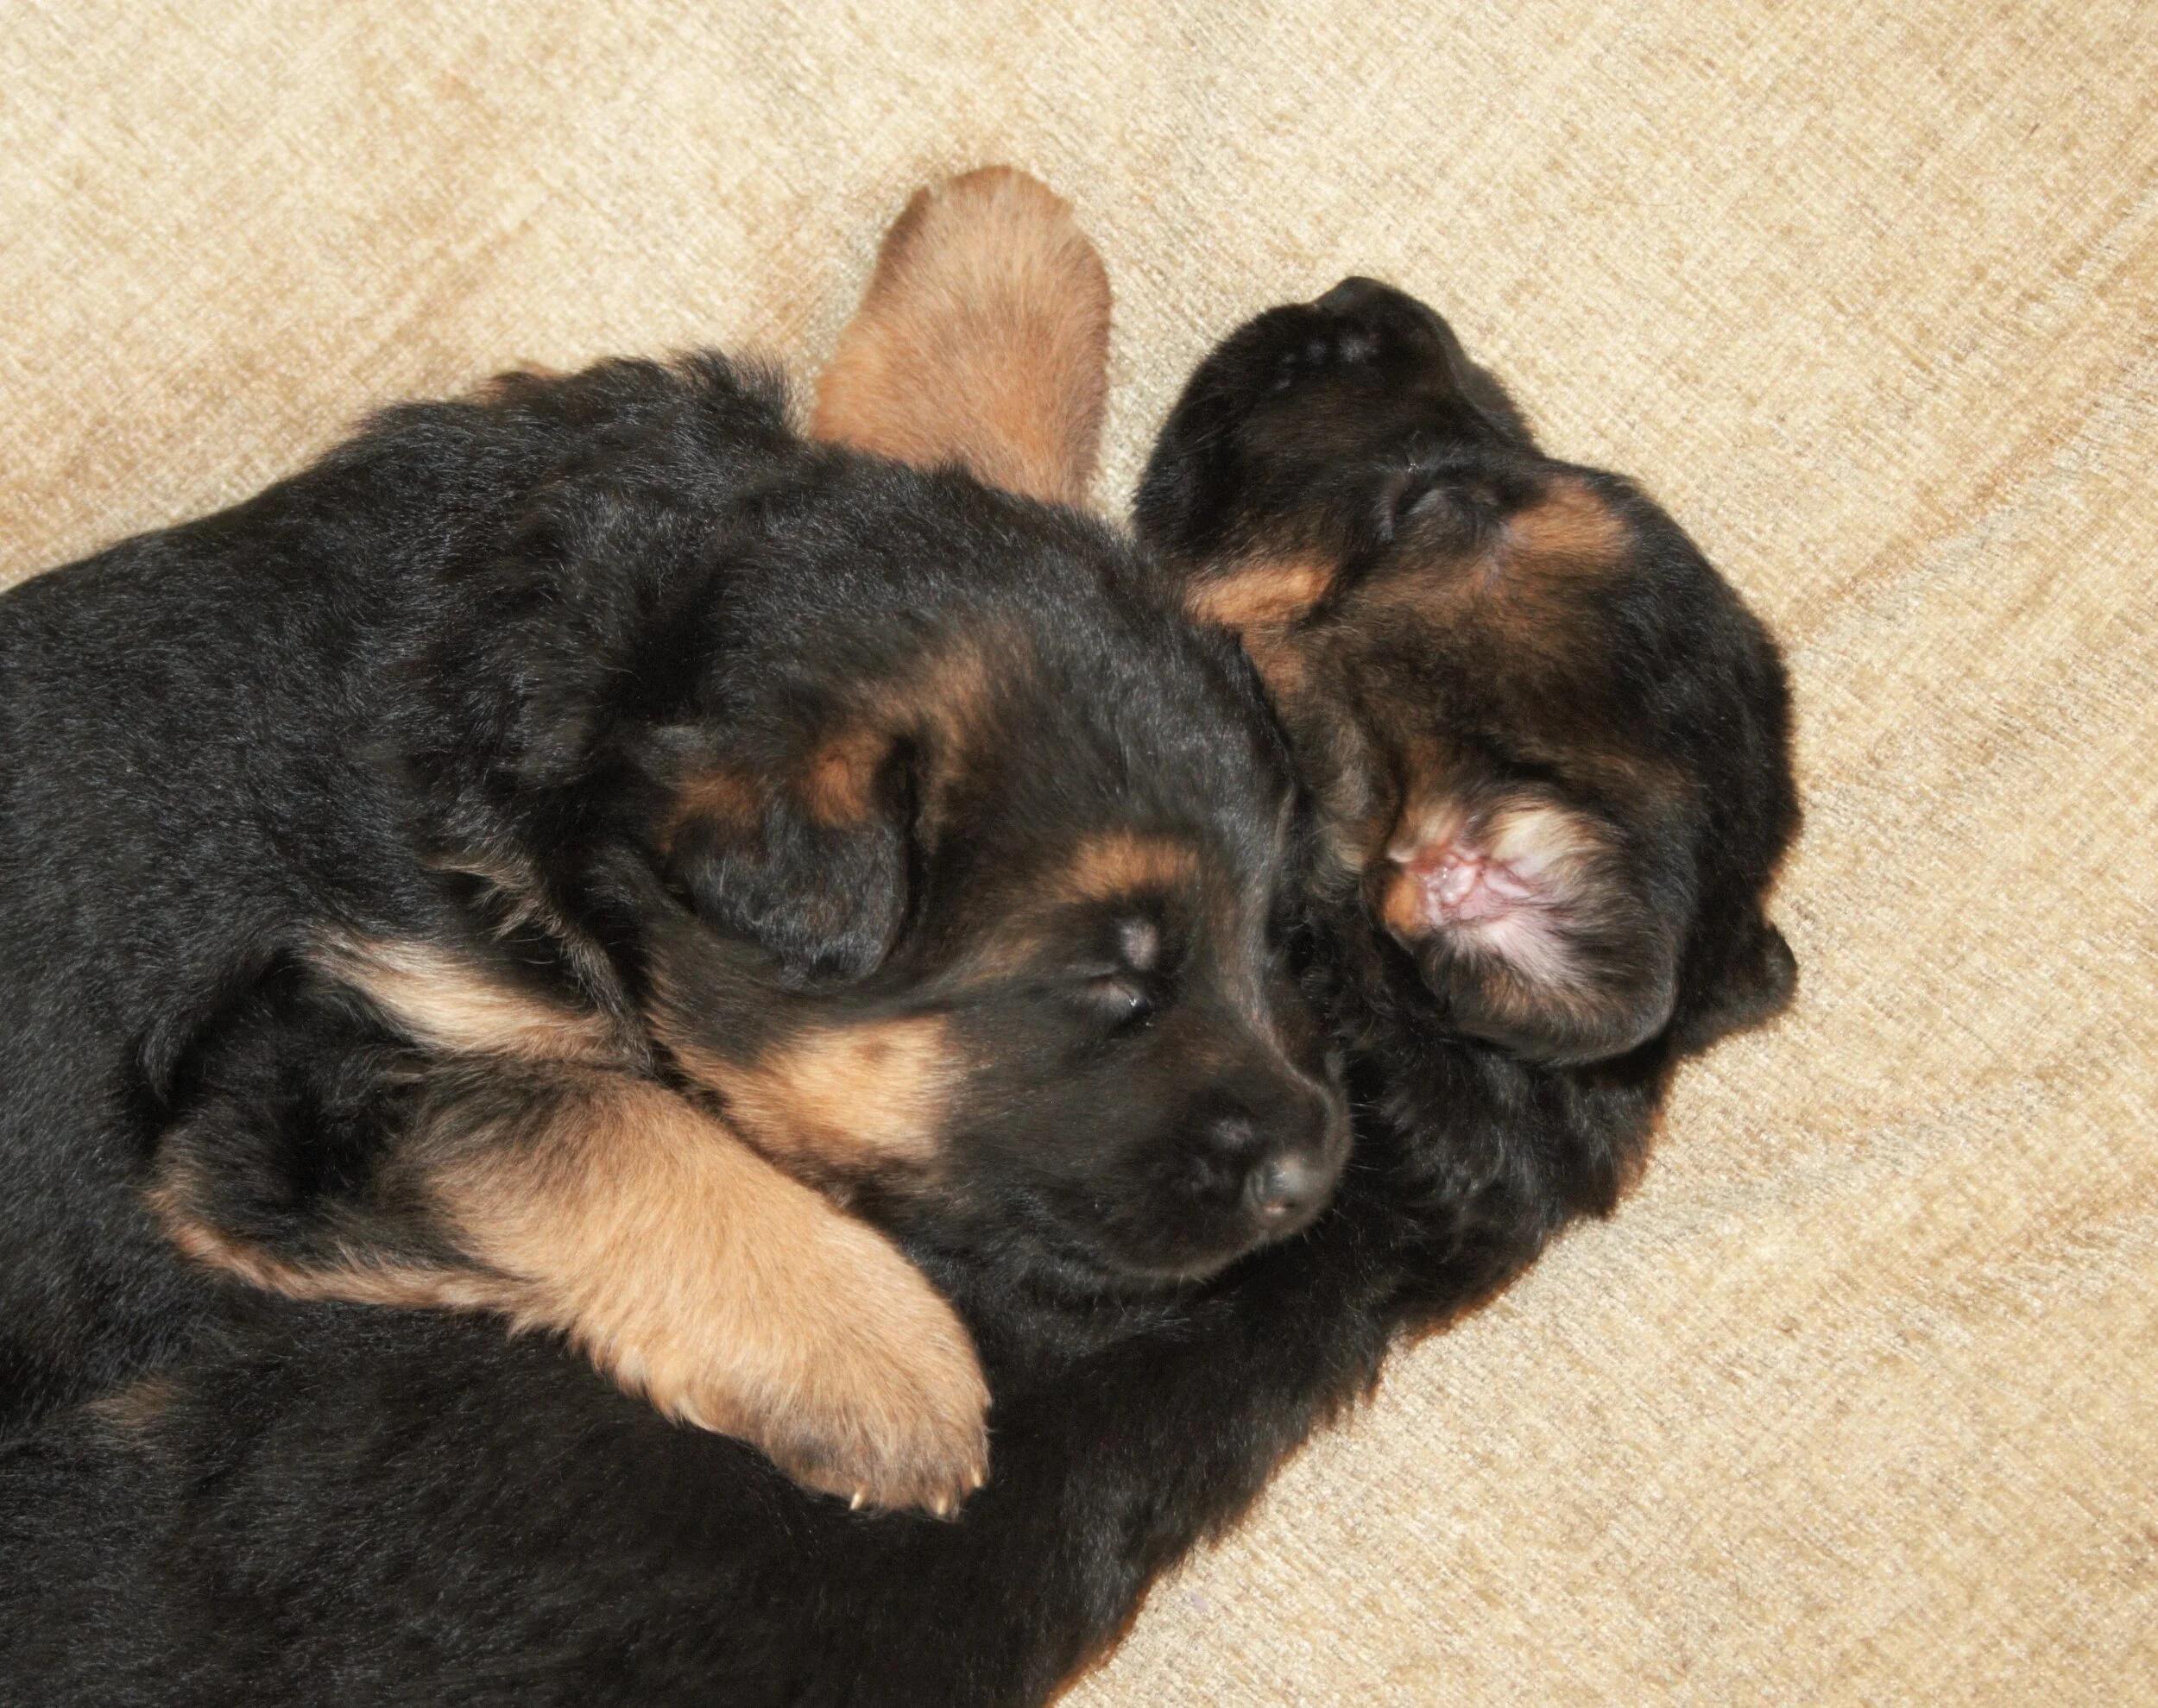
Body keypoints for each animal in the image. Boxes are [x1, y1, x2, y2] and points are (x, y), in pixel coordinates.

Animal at [0, 323, 1348, 1514]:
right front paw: (882, 1356)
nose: (1315, 1168)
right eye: (1110, 979)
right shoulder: (286, 1084)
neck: (603, 680)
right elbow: (611, 1124)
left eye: (1276, 936)